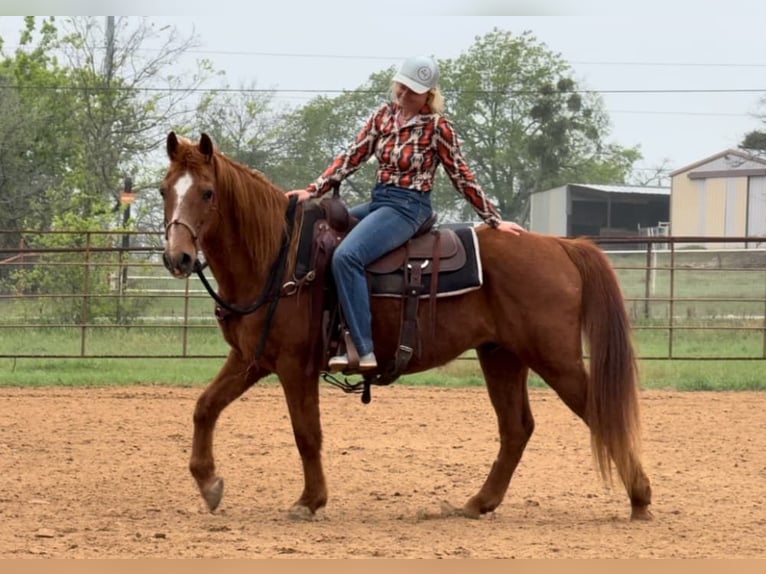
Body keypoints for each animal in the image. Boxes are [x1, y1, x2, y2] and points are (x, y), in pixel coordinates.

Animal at [160, 131, 653, 521]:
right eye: (165, 190)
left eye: (207, 192)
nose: (177, 257)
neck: (278, 256)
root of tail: (561, 245)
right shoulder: (252, 358)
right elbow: (204, 407)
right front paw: (209, 484)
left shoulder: (294, 366)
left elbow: (307, 433)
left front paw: (309, 501)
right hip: (502, 357)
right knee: (516, 429)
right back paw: (478, 503)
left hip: (554, 359)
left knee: (597, 413)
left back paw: (640, 499)